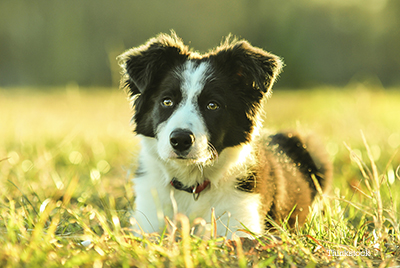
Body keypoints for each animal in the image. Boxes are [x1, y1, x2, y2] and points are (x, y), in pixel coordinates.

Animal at [118, 32, 332, 238]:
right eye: (167, 101)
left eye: (212, 105)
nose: (180, 140)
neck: (193, 186)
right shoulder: (148, 223)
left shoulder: (240, 225)